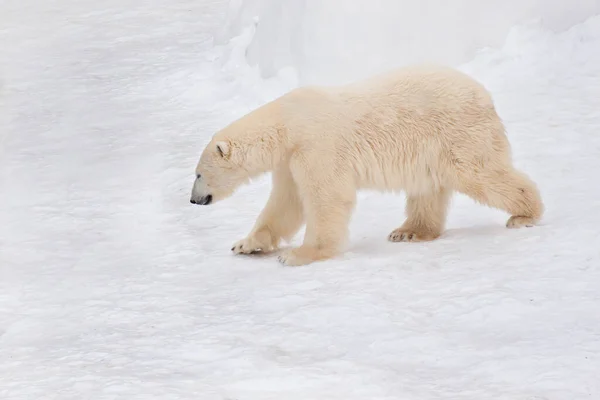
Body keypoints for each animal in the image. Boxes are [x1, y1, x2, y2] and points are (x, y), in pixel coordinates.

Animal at [192, 65, 544, 266]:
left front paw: (297, 254)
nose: (194, 200)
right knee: (427, 188)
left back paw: (525, 214)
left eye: (198, 173)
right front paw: (245, 244)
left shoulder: (317, 145)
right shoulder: (291, 158)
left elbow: (326, 197)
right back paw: (410, 231)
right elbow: (286, 203)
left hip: (458, 132)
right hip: (431, 147)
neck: (287, 122)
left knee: (480, 172)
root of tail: (484, 94)